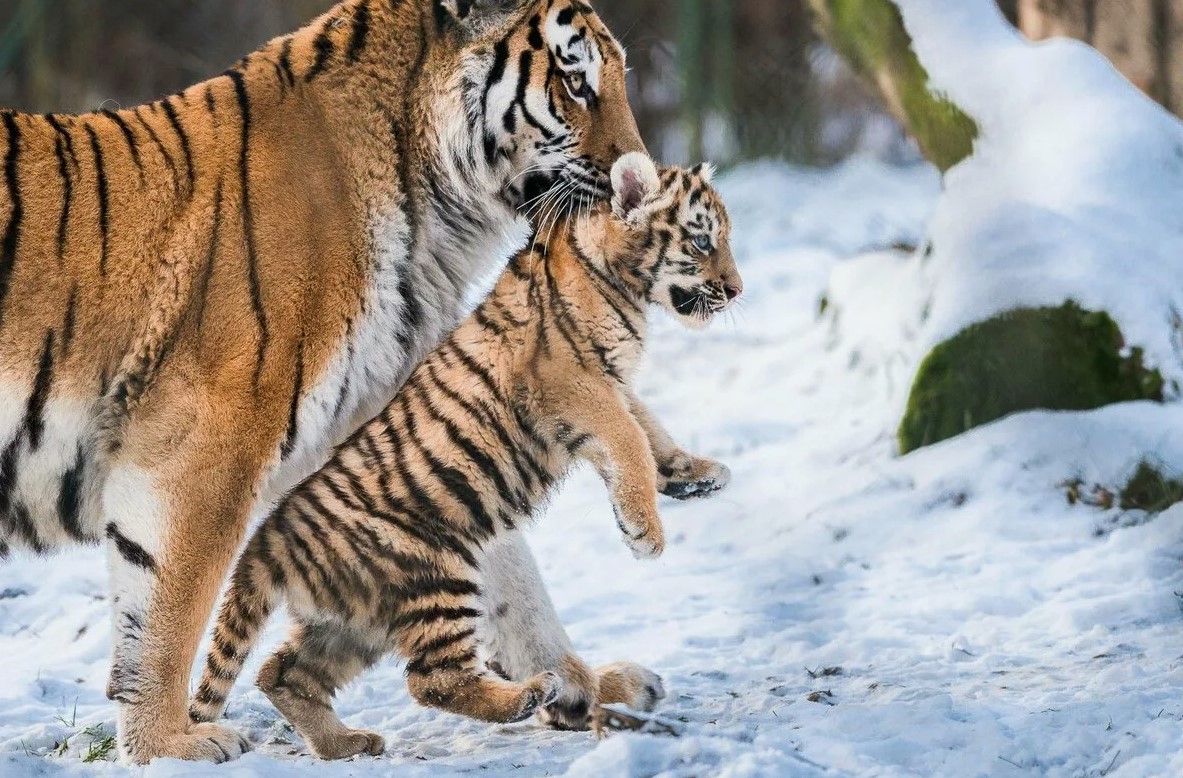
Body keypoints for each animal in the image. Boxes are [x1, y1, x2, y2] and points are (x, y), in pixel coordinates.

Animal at [0, 0, 664, 764]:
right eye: (577, 82)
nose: (641, 176)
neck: (433, 206)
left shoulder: (389, 433)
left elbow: (512, 577)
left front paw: (586, 685)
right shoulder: (201, 446)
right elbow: (167, 608)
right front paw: (166, 745)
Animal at [187, 153, 742, 761]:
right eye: (702, 241)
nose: (736, 290)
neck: (617, 281)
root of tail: (270, 538)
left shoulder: (609, 385)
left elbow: (651, 430)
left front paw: (696, 476)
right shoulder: (571, 384)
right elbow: (630, 439)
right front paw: (646, 534)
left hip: (351, 622)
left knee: (284, 673)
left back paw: (347, 742)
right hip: (437, 577)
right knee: (430, 680)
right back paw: (530, 693)